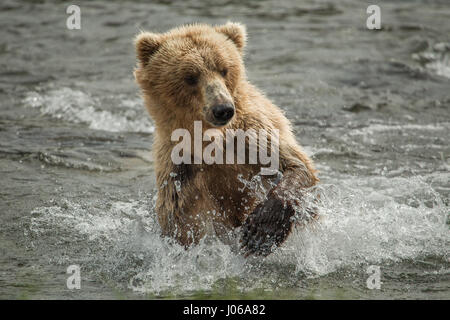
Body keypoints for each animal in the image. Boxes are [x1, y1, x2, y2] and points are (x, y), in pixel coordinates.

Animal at [134, 21, 320, 258]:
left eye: (224, 69)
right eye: (190, 76)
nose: (222, 109)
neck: (211, 140)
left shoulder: (254, 136)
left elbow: (297, 166)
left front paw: (262, 230)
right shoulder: (179, 169)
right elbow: (179, 222)